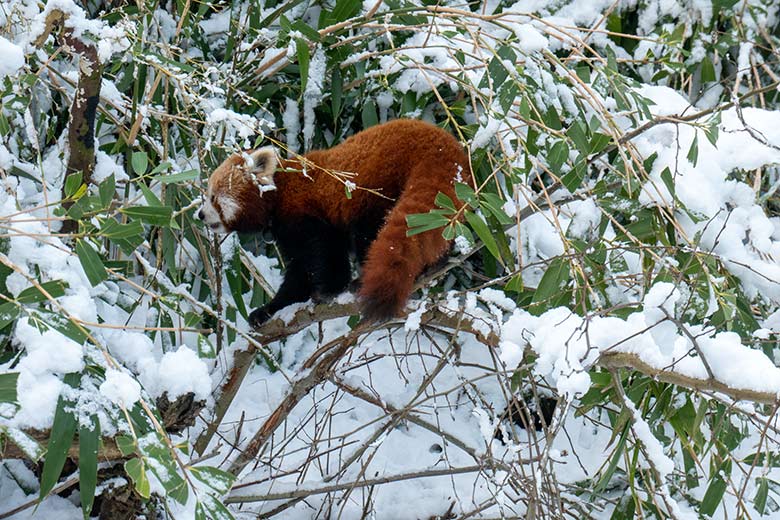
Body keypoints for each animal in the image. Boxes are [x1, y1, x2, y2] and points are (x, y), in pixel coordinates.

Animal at [198, 120, 472, 328]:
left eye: (213, 197)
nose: (200, 214)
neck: (278, 194)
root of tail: (437, 141)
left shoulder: (304, 215)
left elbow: (324, 252)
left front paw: (330, 290)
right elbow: (299, 275)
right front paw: (268, 309)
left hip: (378, 187)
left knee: (370, 233)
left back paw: (363, 279)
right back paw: (437, 262)